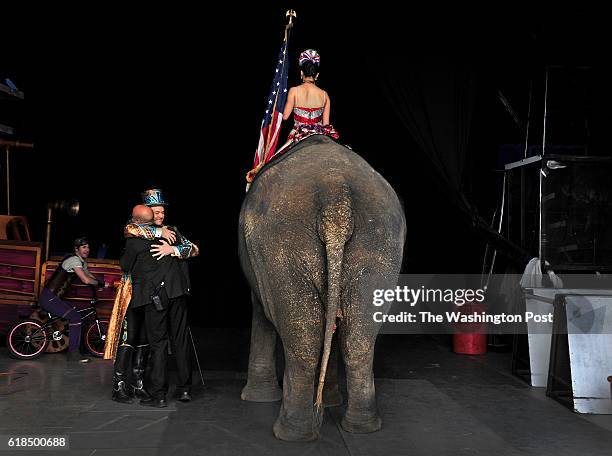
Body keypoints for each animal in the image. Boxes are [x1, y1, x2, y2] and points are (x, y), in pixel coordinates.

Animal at [239, 134, 406, 440]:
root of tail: (335, 192)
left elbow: (261, 310)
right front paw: (328, 403)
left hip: (281, 241)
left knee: (304, 337)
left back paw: (292, 432)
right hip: (381, 241)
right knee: (359, 334)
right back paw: (361, 426)